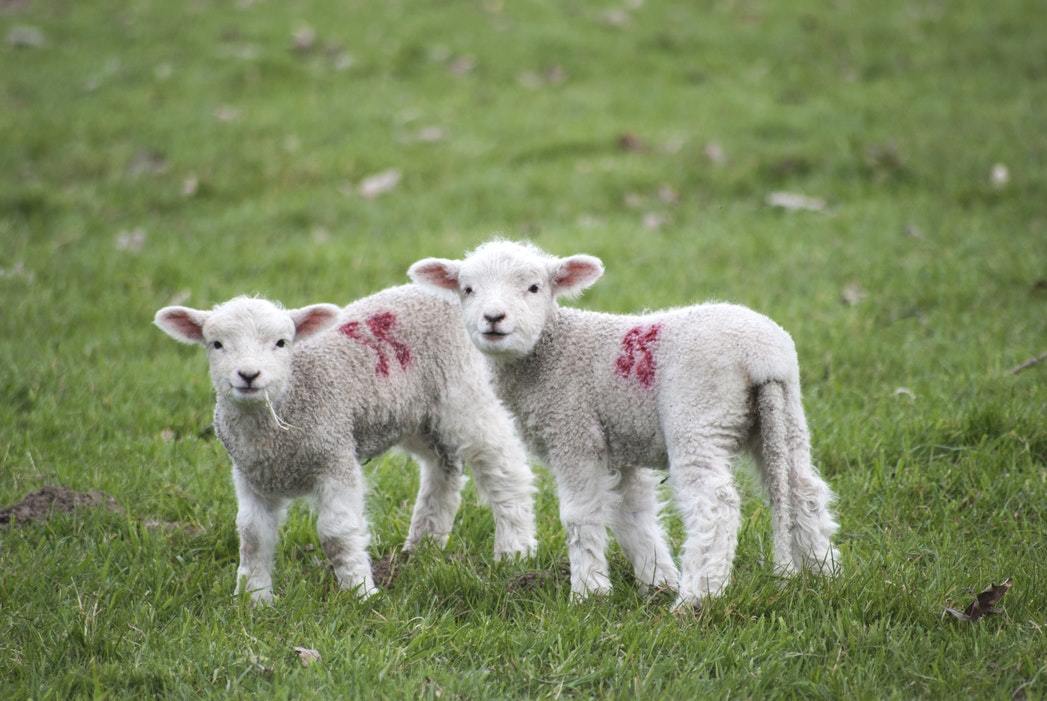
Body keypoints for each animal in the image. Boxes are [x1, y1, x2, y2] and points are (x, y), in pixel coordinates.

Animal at [152, 284, 540, 602]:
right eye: (216, 344)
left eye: (281, 343)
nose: (248, 375)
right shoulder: (251, 476)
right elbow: (252, 536)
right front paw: (253, 600)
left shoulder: (334, 456)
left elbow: (336, 534)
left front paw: (360, 593)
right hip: (417, 414)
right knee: (442, 467)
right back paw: (423, 546)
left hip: (467, 392)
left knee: (504, 468)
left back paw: (515, 550)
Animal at [404, 241, 837, 611]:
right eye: (467, 289)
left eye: (534, 287)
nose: (493, 319)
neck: (551, 352)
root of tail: (763, 356)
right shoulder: (621, 444)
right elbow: (633, 515)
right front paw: (657, 580)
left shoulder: (574, 432)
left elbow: (580, 515)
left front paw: (589, 592)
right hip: (784, 416)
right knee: (803, 489)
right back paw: (824, 574)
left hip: (698, 416)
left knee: (716, 506)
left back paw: (697, 599)